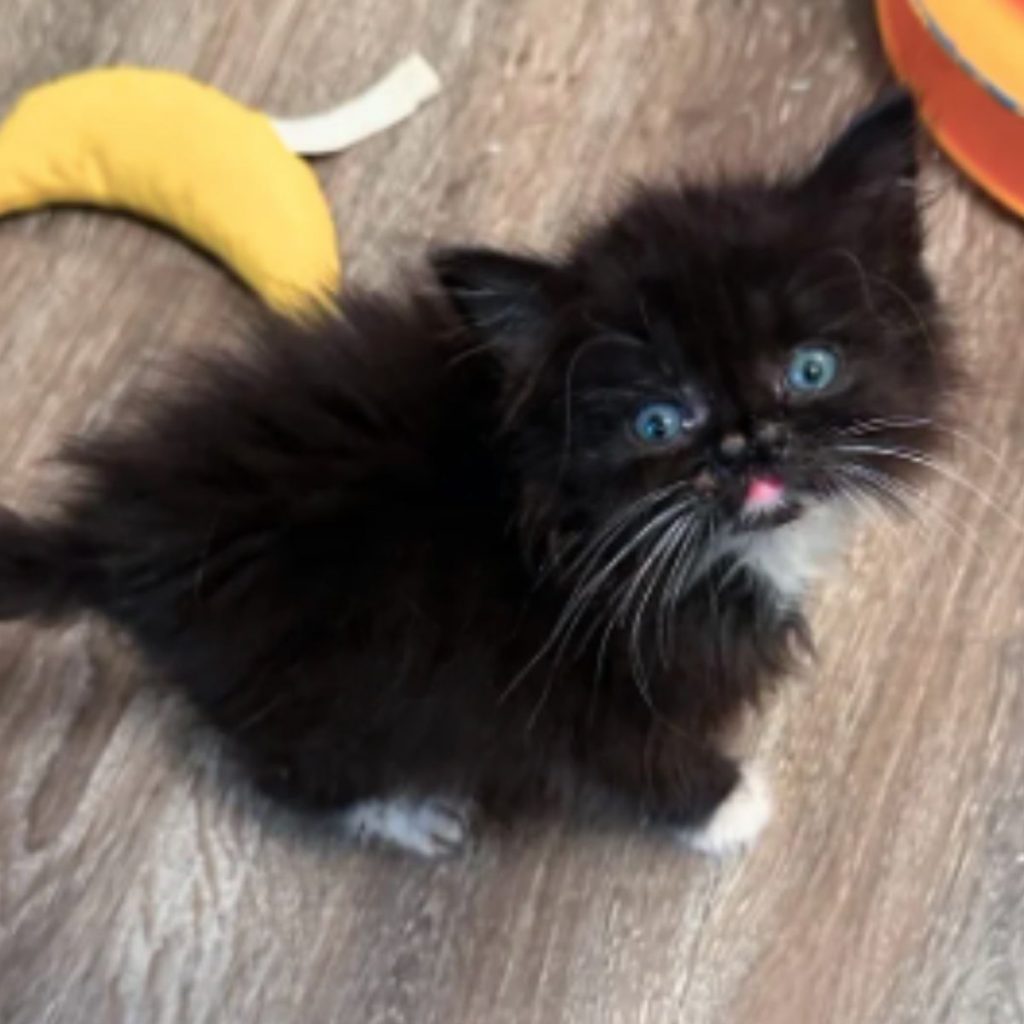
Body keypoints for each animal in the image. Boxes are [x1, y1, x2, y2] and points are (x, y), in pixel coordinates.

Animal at [0, 94, 950, 856]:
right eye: (658, 421)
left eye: (811, 369)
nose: (747, 444)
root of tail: (109, 535)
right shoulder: (572, 684)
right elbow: (635, 754)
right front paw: (725, 810)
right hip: (319, 682)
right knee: (293, 771)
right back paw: (412, 814)